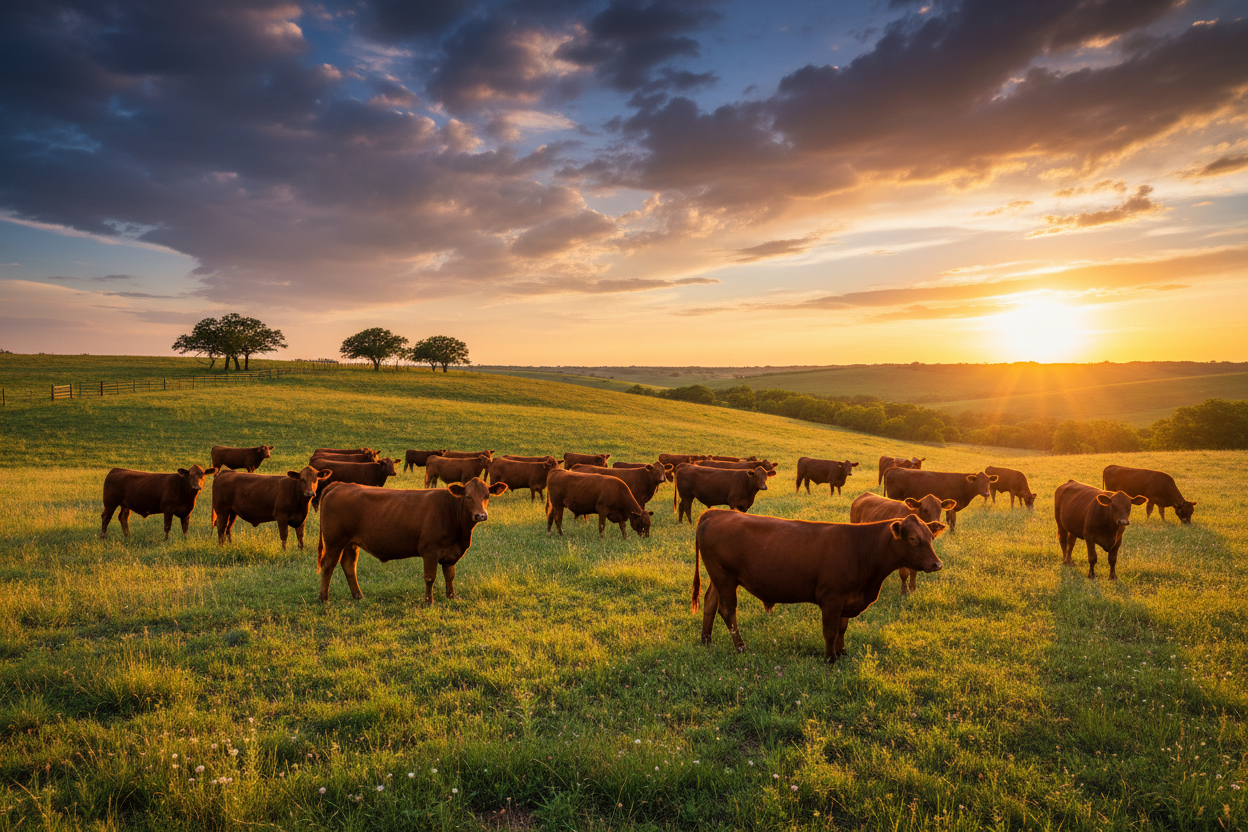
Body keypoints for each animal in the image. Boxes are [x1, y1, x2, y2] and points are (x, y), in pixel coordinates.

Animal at [316, 477, 508, 603]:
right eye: (468, 496)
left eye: (487, 496)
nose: (481, 515)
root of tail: (339, 485)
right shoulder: (430, 550)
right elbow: (430, 577)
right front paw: (428, 601)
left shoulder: (450, 552)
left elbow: (450, 575)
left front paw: (452, 597)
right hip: (334, 542)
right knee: (328, 566)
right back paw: (324, 599)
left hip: (351, 543)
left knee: (349, 565)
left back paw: (358, 596)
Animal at [692, 510, 944, 662]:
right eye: (913, 539)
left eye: (931, 536)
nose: (937, 564)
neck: (861, 547)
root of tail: (717, 513)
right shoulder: (832, 598)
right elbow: (830, 631)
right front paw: (830, 659)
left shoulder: (847, 599)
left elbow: (842, 628)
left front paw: (842, 653)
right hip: (725, 577)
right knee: (728, 611)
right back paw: (741, 647)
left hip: (718, 577)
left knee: (710, 603)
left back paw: (706, 641)